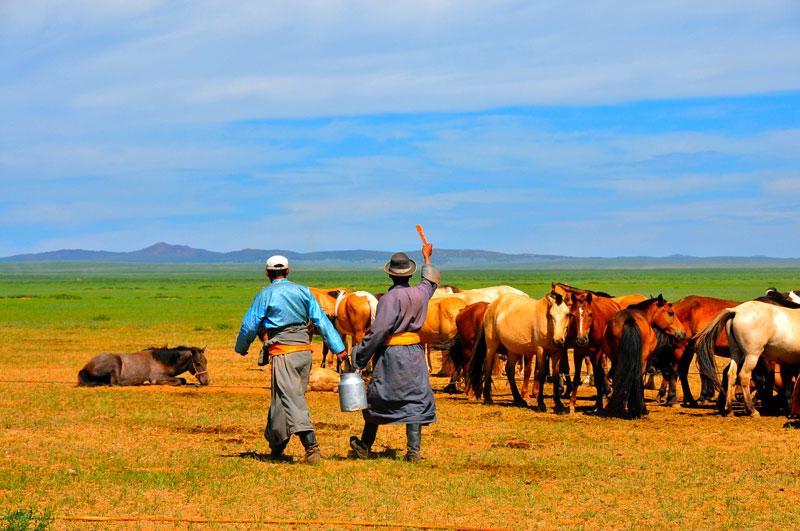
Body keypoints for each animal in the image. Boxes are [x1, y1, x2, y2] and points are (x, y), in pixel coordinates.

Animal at [77, 344, 209, 386]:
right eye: (197, 363)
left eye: (206, 362)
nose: (207, 381)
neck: (161, 360)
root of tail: (84, 368)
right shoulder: (157, 376)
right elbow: (179, 381)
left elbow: (183, 380)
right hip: (116, 361)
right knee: (116, 383)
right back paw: (140, 381)